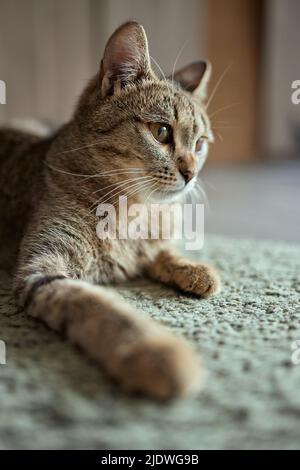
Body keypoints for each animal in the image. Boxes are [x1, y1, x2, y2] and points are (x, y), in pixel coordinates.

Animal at [0, 21, 220, 396]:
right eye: (162, 131)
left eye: (200, 144)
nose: (191, 173)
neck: (134, 209)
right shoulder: (41, 271)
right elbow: (101, 307)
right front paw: (155, 349)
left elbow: (161, 252)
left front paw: (194, 268)